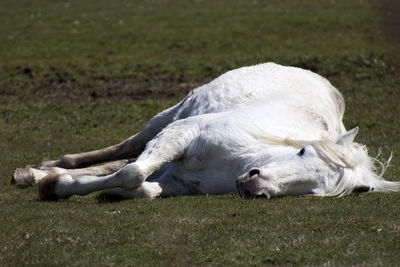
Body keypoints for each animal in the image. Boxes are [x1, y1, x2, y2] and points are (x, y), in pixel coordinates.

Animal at [12, 63, 400, 201]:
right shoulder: (182, 133)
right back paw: (41, 169)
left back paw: (38, 174)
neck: (234, 165)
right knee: (125, 149)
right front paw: (55, 184)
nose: (254, 184)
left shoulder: (178, 182)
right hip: (165, 118)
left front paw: (57, 183)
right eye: (303, 150)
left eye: (317, 188)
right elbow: (133, 171)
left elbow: (140, 185)